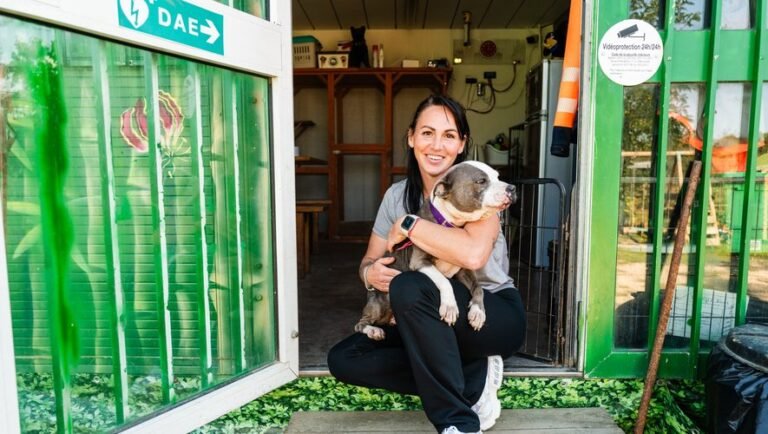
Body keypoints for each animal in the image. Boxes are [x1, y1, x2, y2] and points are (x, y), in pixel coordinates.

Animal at [356, 161, 516, 340]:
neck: (450, 223)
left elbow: (478, 287)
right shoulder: (420, 262)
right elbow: (444, 280)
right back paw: (372, 330)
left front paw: (478, 312)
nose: (512, 188)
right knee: (360, 323)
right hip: (380, 302)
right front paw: (450, 307)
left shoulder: (464, 270)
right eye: (481, 181)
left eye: (498, 176)